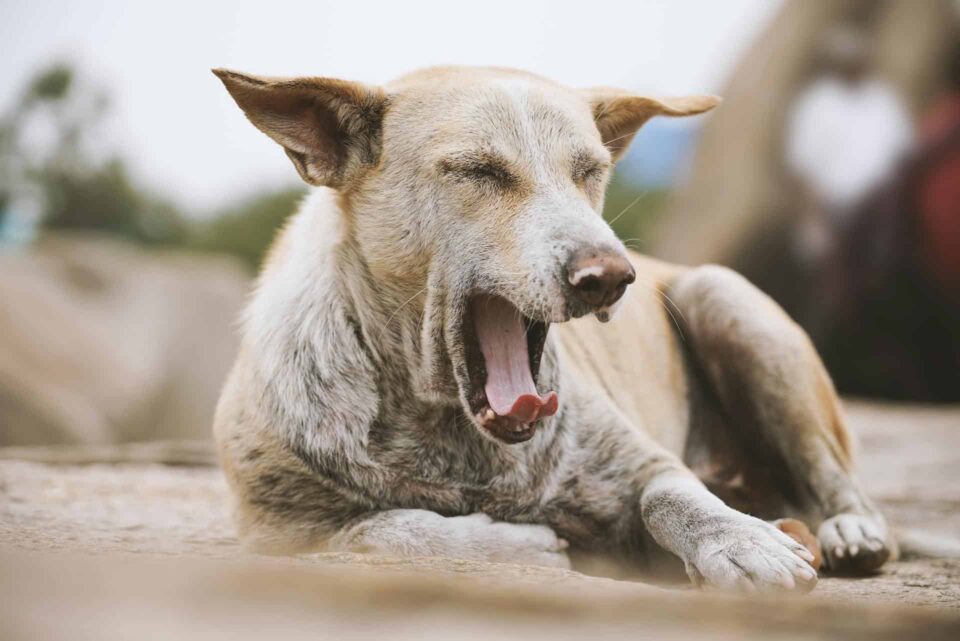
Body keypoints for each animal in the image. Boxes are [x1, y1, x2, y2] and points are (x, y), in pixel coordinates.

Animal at [212, 65, 892, 592]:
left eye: (589, 171)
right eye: (478, 171)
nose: (611, 276)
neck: (447, 427)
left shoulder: (647, 468)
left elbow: (674, 495)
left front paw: (742, 543)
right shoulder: (275, 532)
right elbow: (378, 529)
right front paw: (515, 544)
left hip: (725, 299)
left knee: (829, 471)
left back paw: (850, 529)